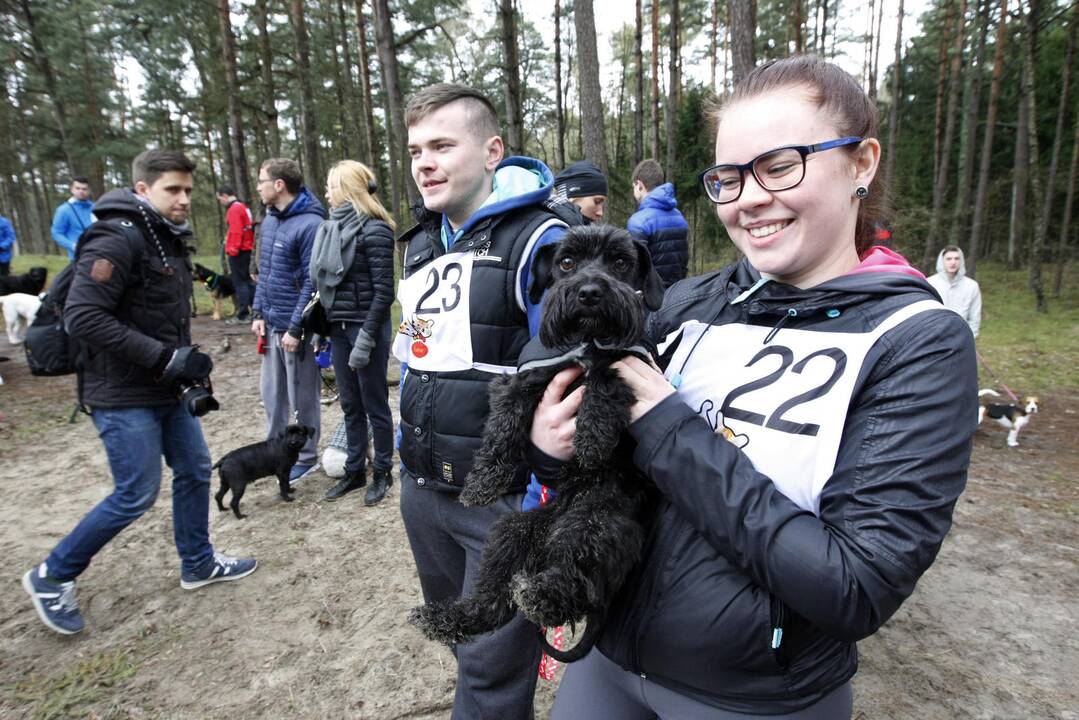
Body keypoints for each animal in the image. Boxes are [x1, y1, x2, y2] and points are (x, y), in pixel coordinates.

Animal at [410, 225, 664, 664]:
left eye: (620, 262)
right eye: (567, 262)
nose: (590, 292)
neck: (585, 340)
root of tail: (557, 522)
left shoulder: (633, 366)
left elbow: (606, 379)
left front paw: (592, 436)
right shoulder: (523, 381)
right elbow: (503, 425)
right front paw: (481, 483)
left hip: (594, 522)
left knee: (577, 578)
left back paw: (543, 596)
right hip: (511, 532)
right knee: (493, 603)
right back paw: (448, 618)